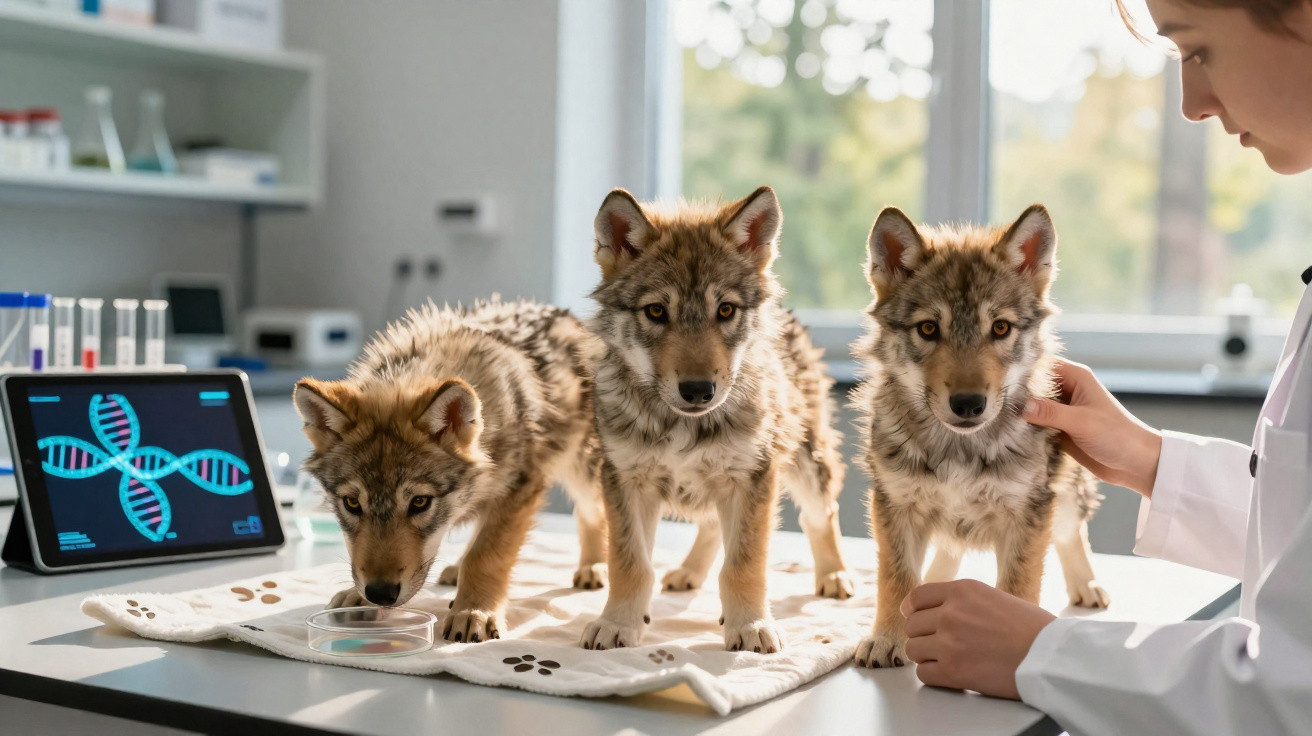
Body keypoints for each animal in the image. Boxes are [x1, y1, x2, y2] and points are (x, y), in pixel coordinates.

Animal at [293, 298, 607, 643]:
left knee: (592, 513)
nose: (380, 593)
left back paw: (595, 567)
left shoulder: (519, 488)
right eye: (352, 503)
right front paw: (357, 597)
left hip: (583, 469)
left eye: (419, 502)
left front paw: (474, 611)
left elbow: (486, 555)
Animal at [578, 186, 854, 654]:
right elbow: (630, 564)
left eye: (725, 310)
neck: (680, 425)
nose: (697, 390)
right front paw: (618, 623)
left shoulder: (752, 477)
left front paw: (750, 626)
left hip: (804, 465)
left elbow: (743, 565)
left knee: (820, 516)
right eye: (656, 312)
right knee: (710, 526)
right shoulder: (625, 481)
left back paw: (834, 576)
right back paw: (688, 574)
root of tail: (790, 315)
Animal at [851, 204, 1109, 669]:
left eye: (1001, 328)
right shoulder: (895, 505)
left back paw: (1088, 586)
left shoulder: (1027, 514)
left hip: (1061, 497)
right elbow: (894, 579)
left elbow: (1019, 587)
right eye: (929, 329)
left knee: (1073, 533)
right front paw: (887, 637)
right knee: (947, 553)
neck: (960, 448)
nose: (969, 404)